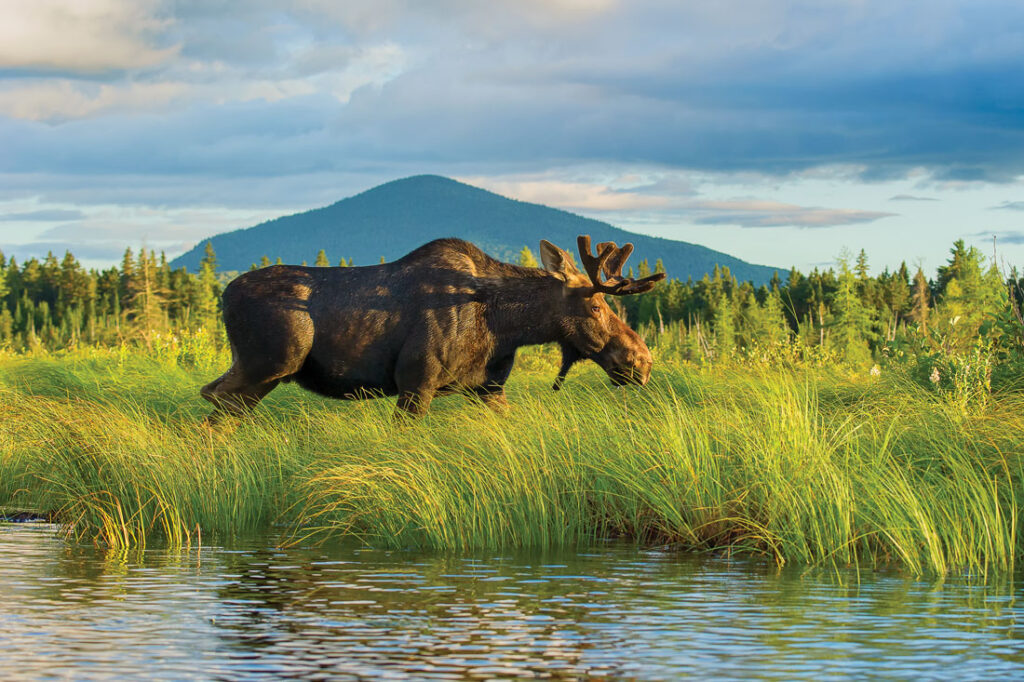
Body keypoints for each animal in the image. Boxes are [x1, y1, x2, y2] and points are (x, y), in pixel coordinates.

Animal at [199, 233, 663, 417]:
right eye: (597, 306)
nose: (642, 361)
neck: (506, 326)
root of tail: (224, 295)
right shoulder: (415, 383)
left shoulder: (488, 388)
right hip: (268, 364)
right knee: (217, 404)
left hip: (254, 370)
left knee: (212, 397)